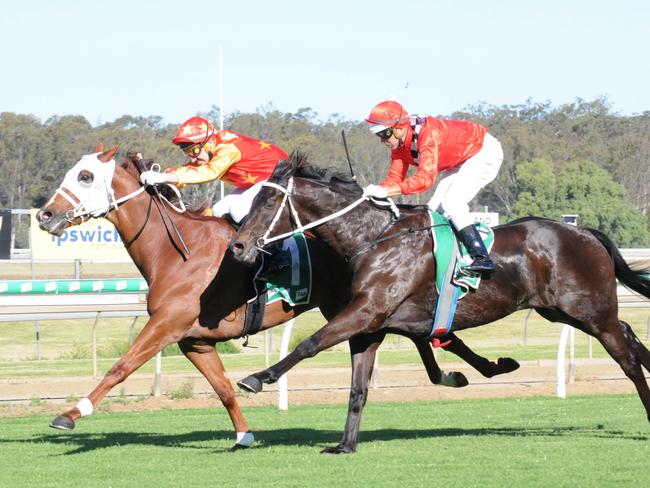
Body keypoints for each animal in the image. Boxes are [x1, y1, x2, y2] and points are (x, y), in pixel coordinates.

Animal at [38, 147, 520, 448]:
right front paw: (244, 434)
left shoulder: (167, 325)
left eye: (85, 176)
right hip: (361, 305)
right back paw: (472, 371)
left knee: (425, 334)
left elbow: (121, 366)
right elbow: (223, 389)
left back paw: (473, 370)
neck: (178, 252)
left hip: (360, 304)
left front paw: (72, 412)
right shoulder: (193, 340)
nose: (45, 215)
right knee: (425, 336)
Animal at [230, 153, 648, 454]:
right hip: (564, 311)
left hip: (591, 312)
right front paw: (345, 445)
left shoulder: (366, 311)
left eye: (268, 202)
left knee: (626, 356)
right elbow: (358, 387)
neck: (373, 237)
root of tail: (584, 232)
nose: (237, 247)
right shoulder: (373, 327)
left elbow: (309, 343)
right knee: (629, 334)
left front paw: (257, 378)